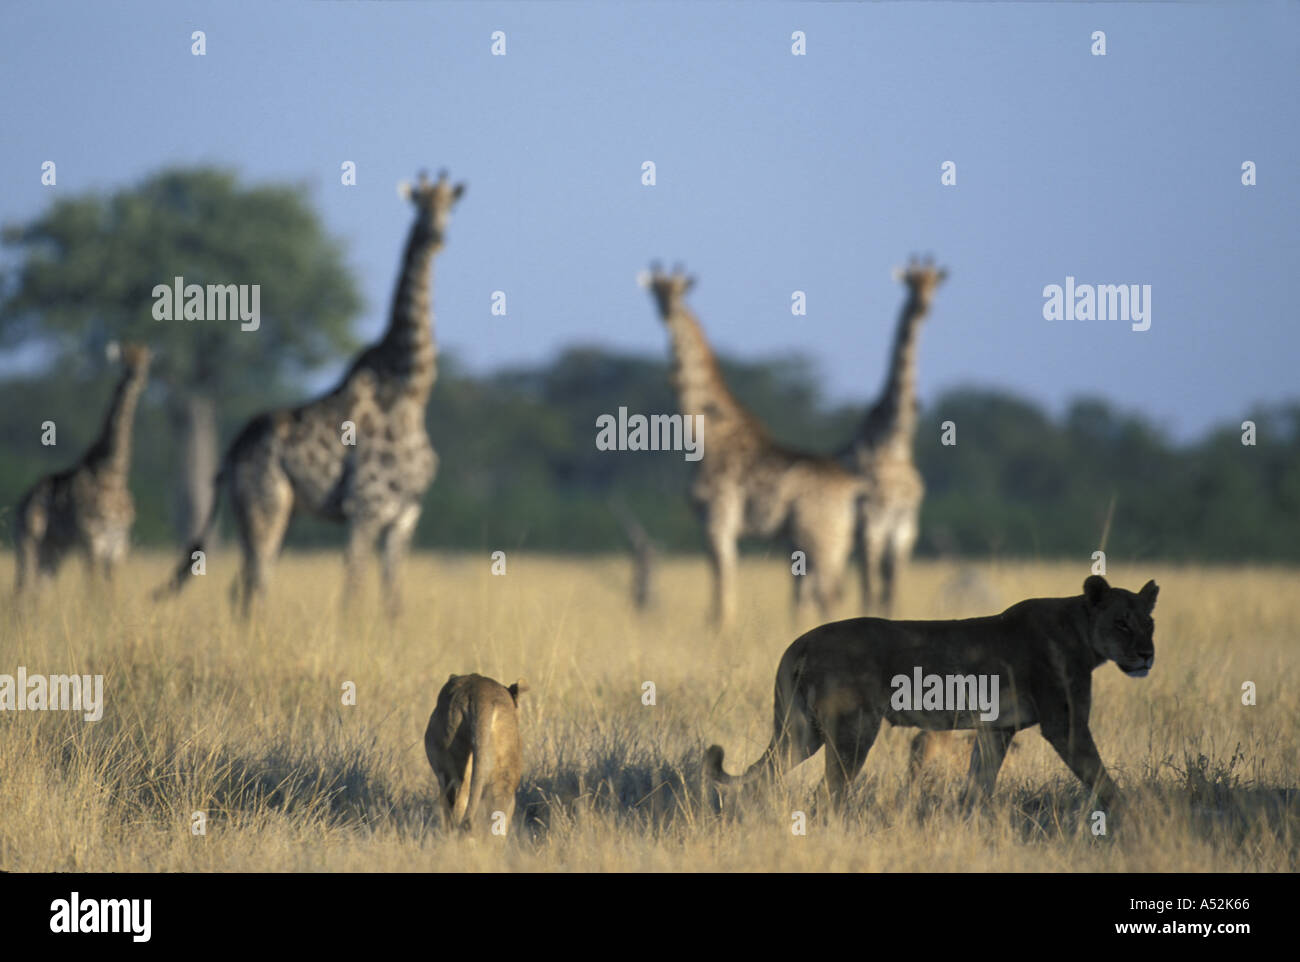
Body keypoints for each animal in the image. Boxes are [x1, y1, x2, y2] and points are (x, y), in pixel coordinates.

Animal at [13, 343, 152, 591]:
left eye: (146, 361)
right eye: (125, 361)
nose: (137, 376)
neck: (114, 475)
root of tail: (21, 503)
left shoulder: (118, 545)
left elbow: (110, 592)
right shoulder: (92, 540)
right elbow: (93, 590)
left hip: (53, 550)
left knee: (40, 588)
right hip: (27, 543)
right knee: (21, 589)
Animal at [156, 170, 464, 616]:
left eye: (449, 206)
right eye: (420, 205)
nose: (436, 236)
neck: (411, 390)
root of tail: (230, 456)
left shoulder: (406, 513)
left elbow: (394, 602)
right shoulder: (364, 508)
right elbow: (353, 593)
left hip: (277, 512)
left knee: (243, 586)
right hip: (265, 504)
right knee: (255, 583)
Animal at [642, 265, 862, 629]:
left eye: (675, 291)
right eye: (656, 292)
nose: (666, 310)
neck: (707, 433)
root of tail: (851, 488)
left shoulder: (718, 518)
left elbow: (723, 578)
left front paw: (721, 629)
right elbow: (723, 578)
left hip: (820, 536)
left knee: (828, 595)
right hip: (830, 539)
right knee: (819, 595)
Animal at [706, 575, 1157, 810]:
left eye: (1148, 624)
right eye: (1121, 623)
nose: (1147, 654)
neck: (1084, 633)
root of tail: (802, 641)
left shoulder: (997, 730)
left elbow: (979, 784)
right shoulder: (1065, 724)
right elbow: (1100, 777)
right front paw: (1137, 814)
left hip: (801, 732)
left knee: (764, 776)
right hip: (852, 731)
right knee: (827, 792)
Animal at [843, 257, 947, 614]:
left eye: (934, 284)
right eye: (911, 284)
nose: (923, 307)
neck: (894, 440)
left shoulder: (904, 529)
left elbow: (892, 591)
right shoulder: (872, 525)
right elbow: (872, 589)